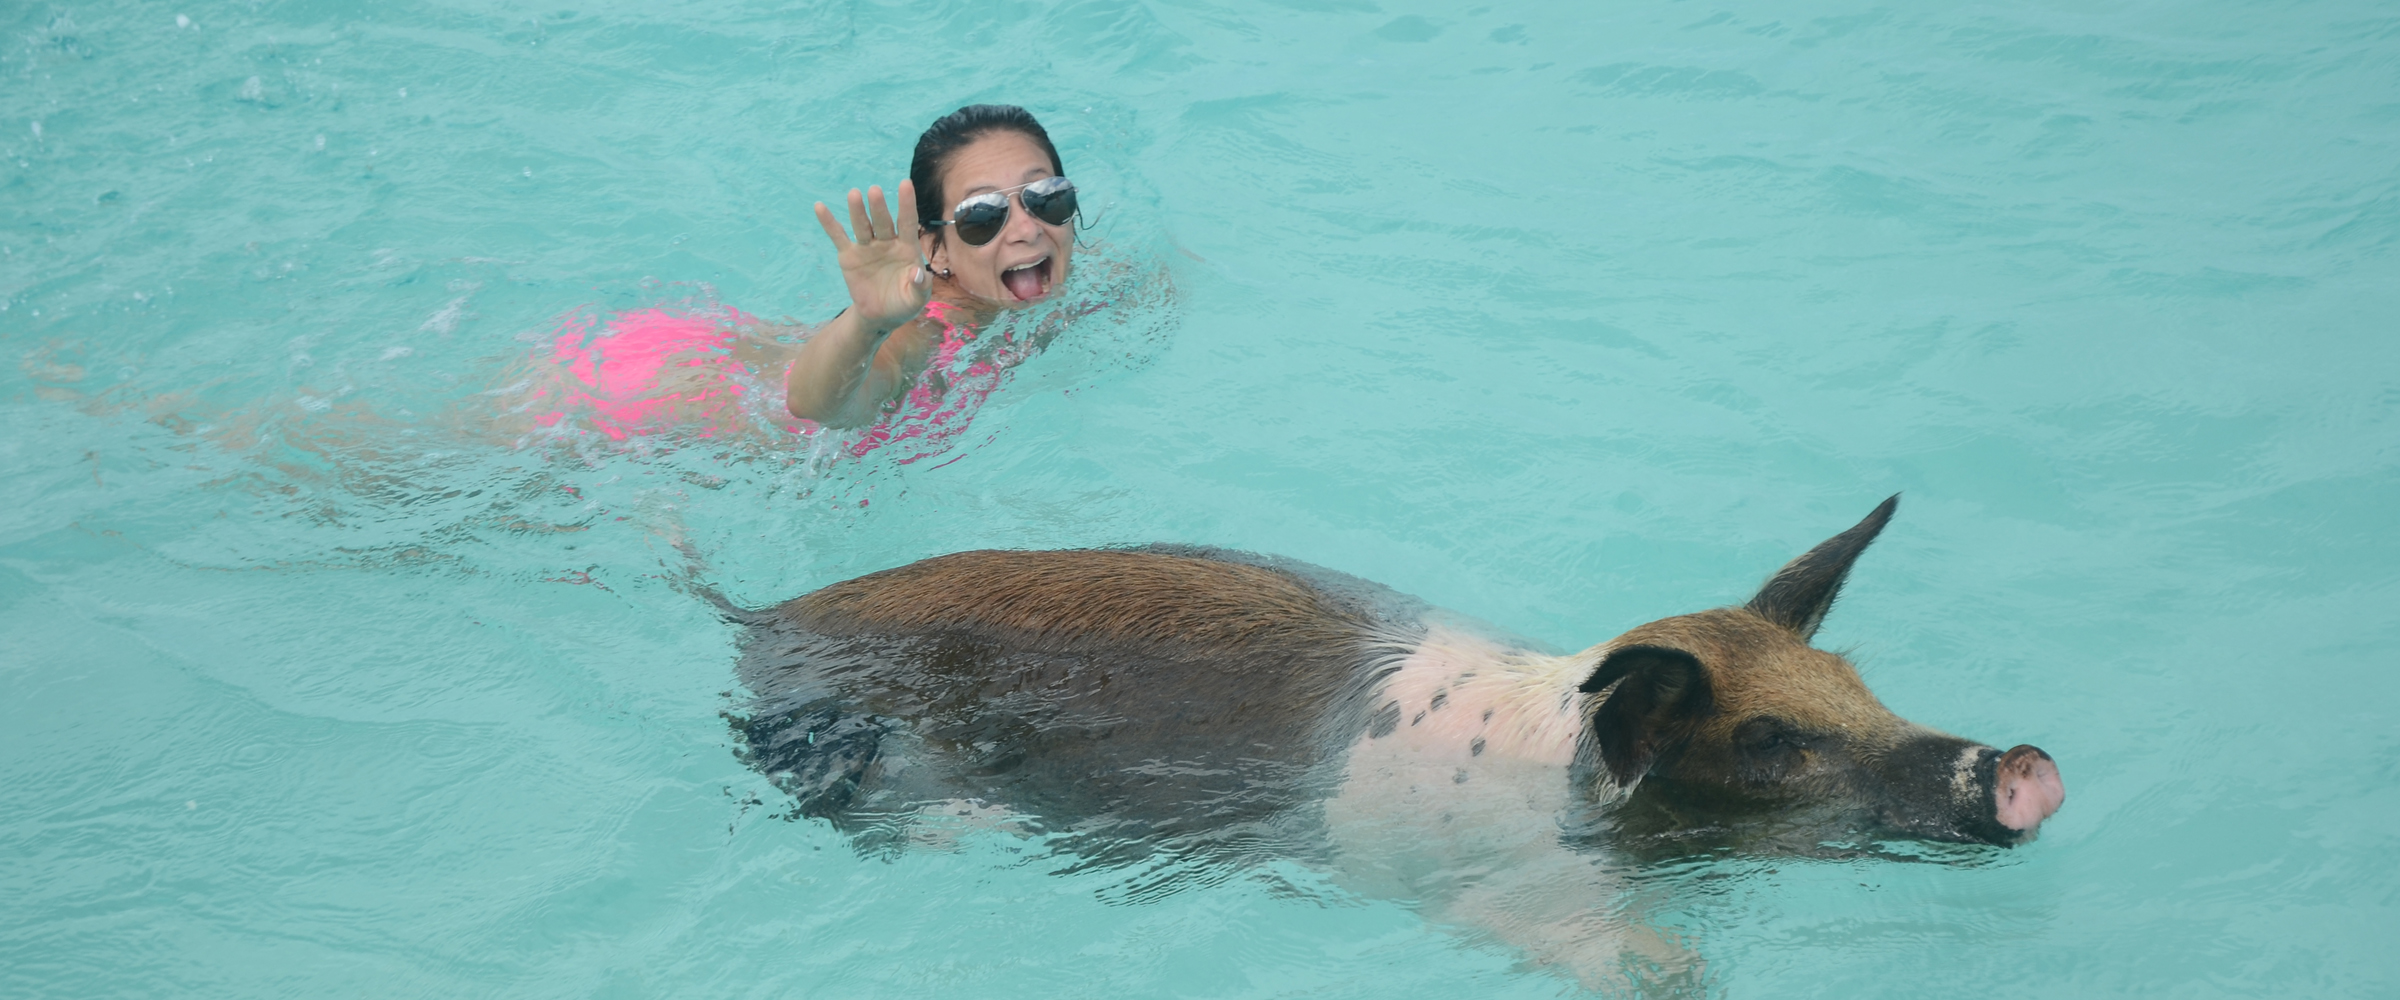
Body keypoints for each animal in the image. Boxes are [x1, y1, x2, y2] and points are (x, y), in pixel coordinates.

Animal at [723, 497, 2063, 980]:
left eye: (1856, 681)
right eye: (1769, 739)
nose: (2014, 765)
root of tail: (752, 613)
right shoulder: (1498, 901)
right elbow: (1654, 970)